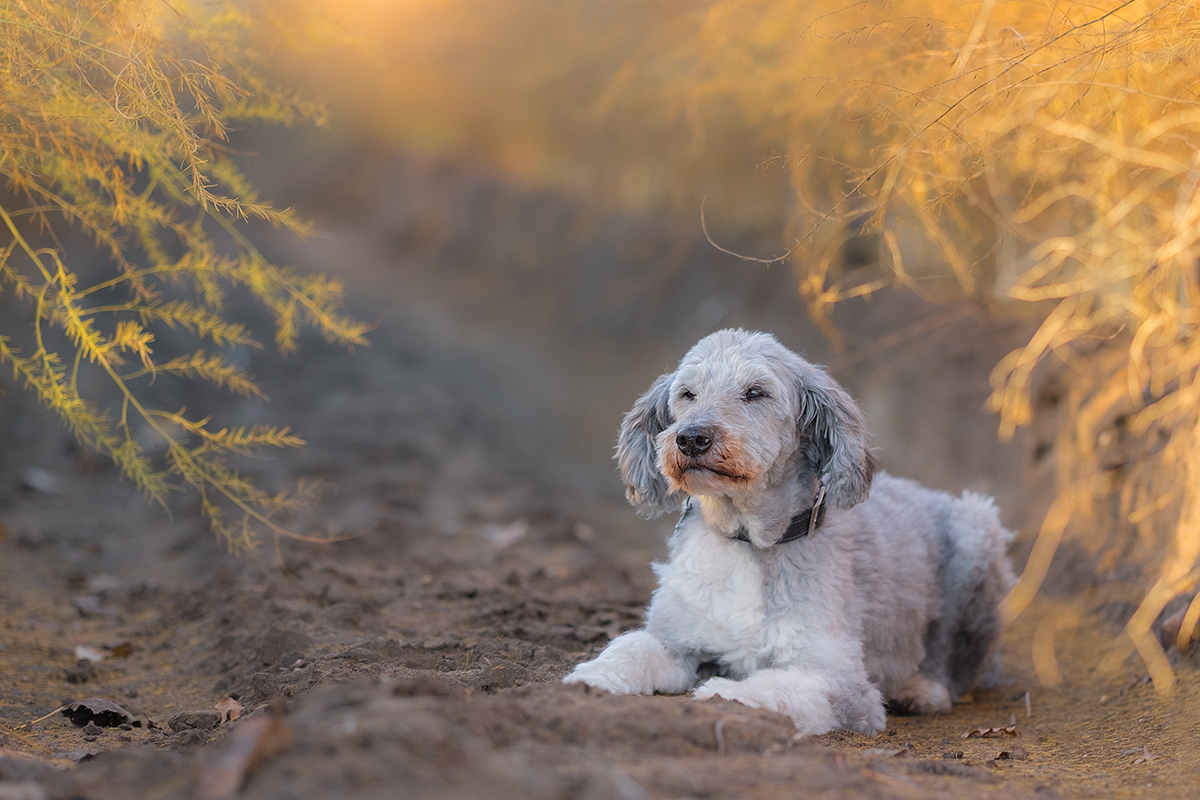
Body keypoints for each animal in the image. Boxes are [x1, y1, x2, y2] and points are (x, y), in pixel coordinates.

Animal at [561, 328, 1012, 734]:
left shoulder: (840, 679)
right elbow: (632, 646)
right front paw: (592, 676)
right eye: (688, 393)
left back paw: (923, 689)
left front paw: (723, 692)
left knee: (959, 660)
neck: (747, 541)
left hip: (977, 530)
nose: (690, 438)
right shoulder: (675, 638)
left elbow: (776, 686)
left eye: (756, 392)